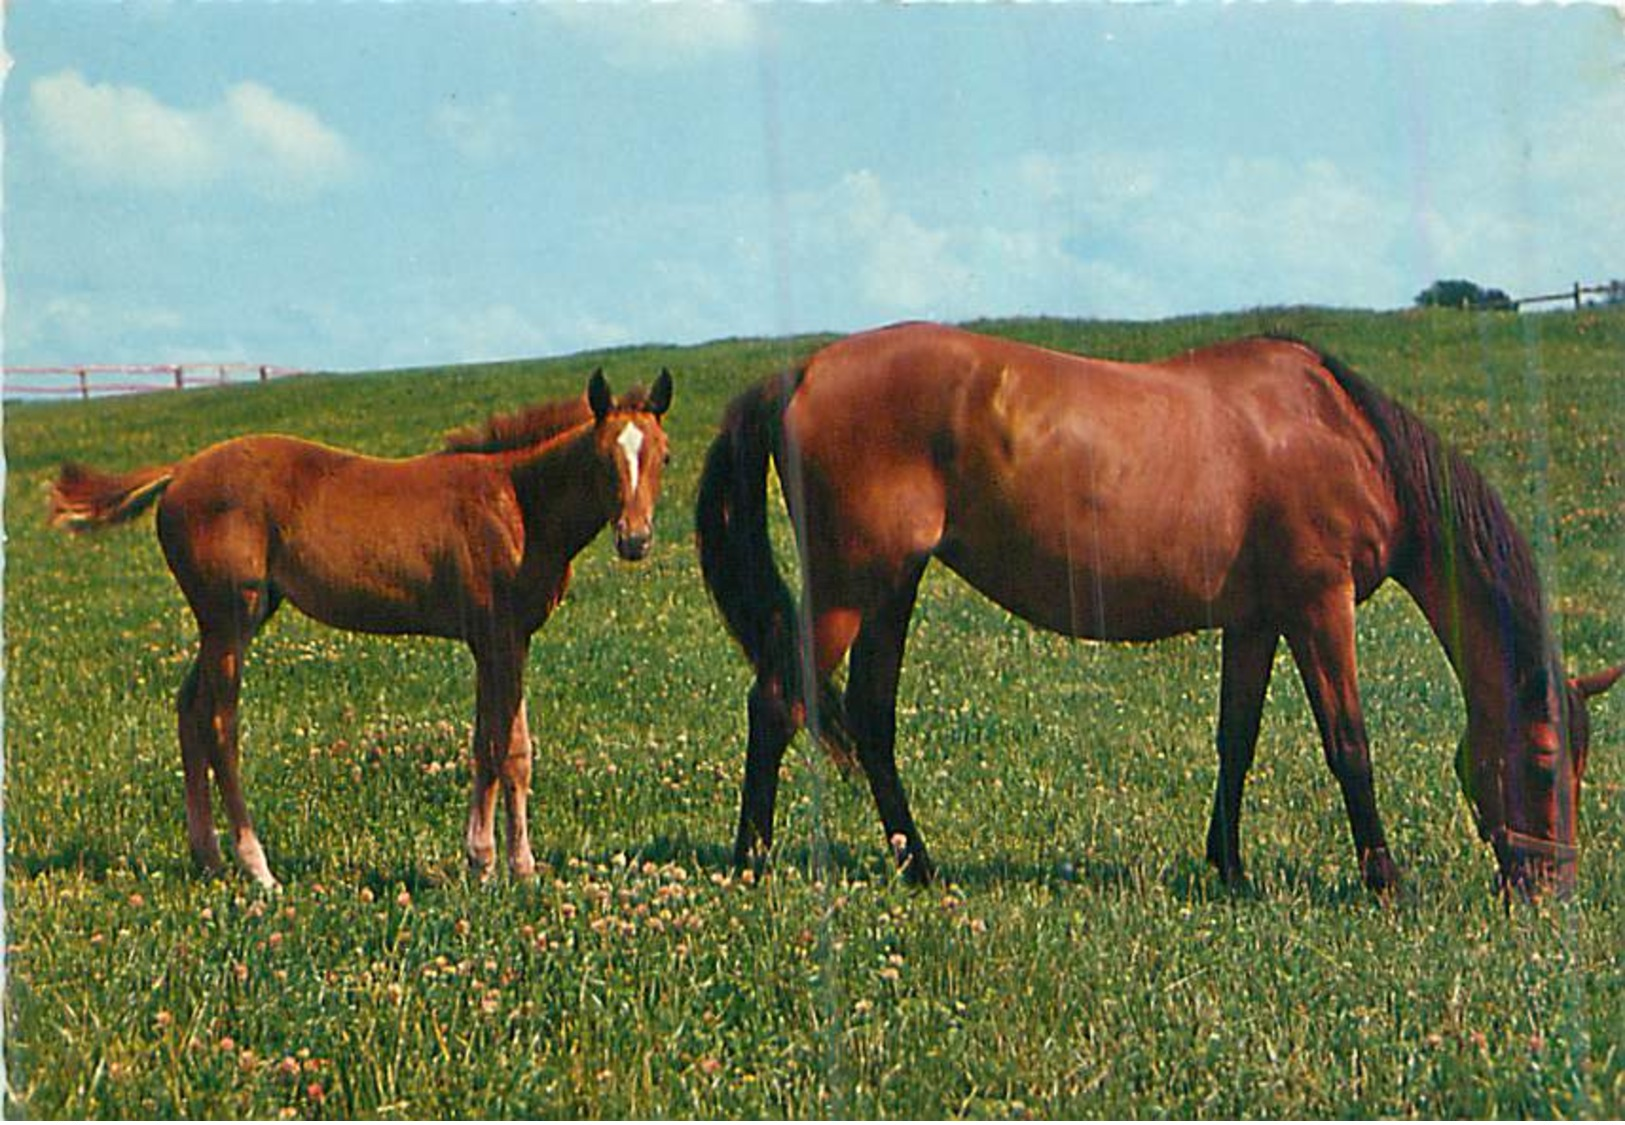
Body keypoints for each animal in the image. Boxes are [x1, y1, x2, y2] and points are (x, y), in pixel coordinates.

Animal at [50, 369, 672, 890]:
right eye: (602, 458)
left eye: (663, 456)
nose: (634, 540)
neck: (516, 502)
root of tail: (179, 472)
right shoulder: (497, 637)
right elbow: (501, 747)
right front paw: (496, 864)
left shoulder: (504, 640)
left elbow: (503, 746)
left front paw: (507, 864)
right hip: (230, 618)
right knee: (219, 723)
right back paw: (257, 867)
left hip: (234, 621)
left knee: (187, 707)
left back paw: (208, 858)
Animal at [695, 323, 1612, 897]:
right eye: (1541, 761)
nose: (1551, 885)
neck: (1345, 435)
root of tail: (803, 371)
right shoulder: (1318, 606)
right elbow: (1349, 746)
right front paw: (1384, 880)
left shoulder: (1257, 620)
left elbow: (1236, 739)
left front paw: (1230, 867)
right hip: (849, 589)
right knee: (775, 702)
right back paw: (752, 860)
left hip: (892, 586)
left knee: (872, 720)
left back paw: (916, 864)